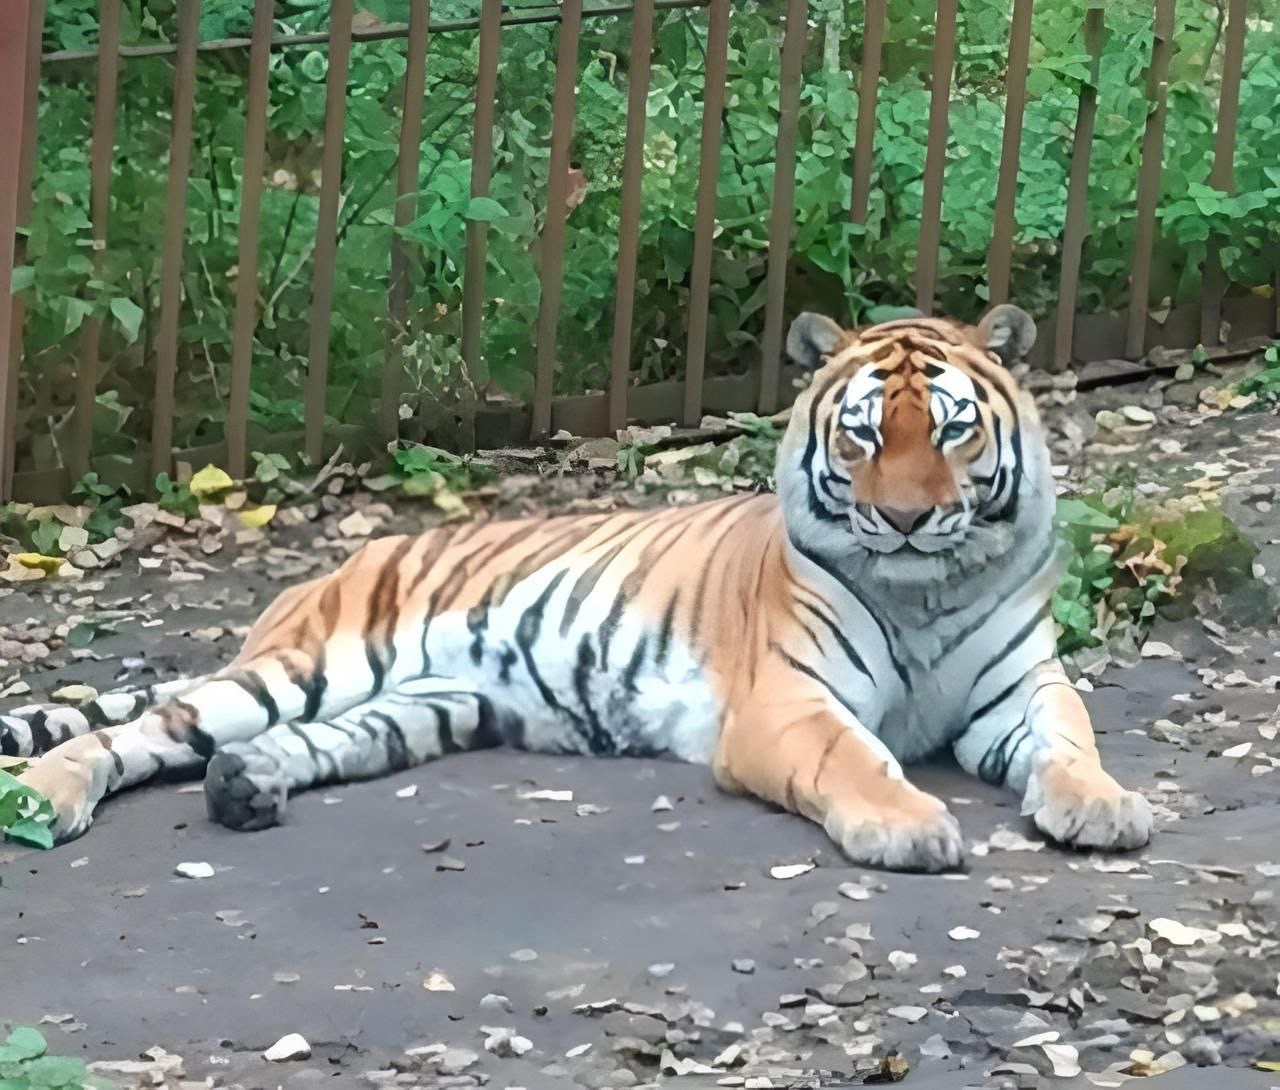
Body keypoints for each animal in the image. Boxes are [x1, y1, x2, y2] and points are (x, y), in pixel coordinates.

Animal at [5, 304, 1152, 869]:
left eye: (952, 430)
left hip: (425, 705)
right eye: (864, 434)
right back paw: (46, 799)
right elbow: (857, 759)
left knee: (298, 743)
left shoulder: (1024, 688)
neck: (923, 590)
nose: (907, 519)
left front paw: (1104, 808)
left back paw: (247, 786)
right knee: (128, 735)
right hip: (302, 669)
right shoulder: (788, 703)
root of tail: (327, 569)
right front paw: (909, 827)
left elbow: (1070, 744)